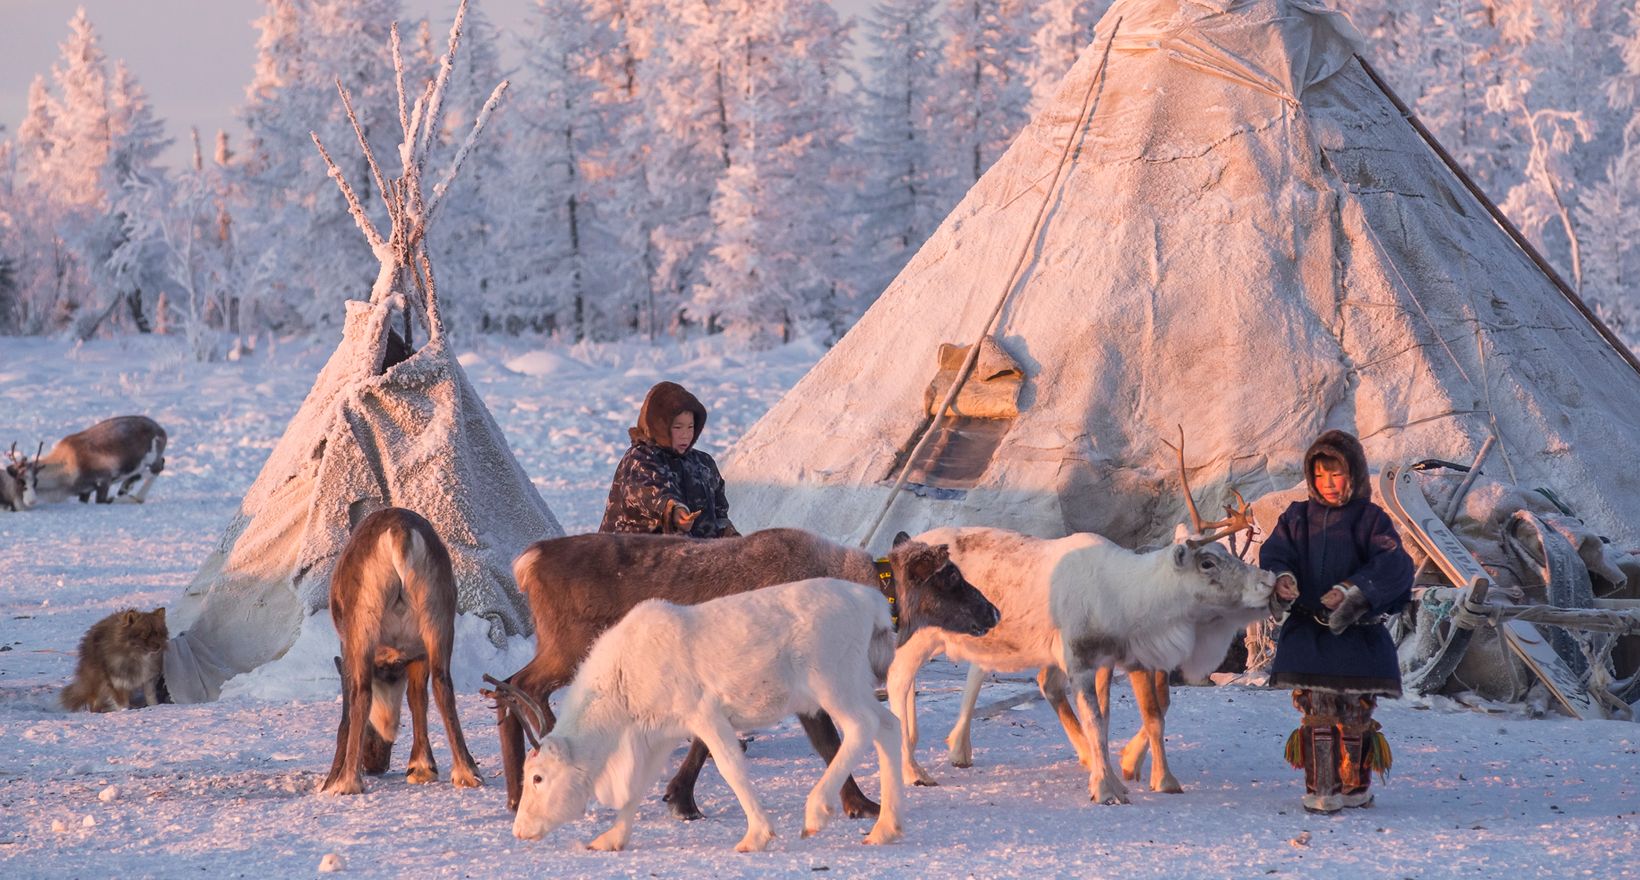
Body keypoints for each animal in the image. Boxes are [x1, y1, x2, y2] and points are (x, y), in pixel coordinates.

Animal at [314, 504, 478, 793]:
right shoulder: (417, 655)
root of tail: (399, 533)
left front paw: (330, 781)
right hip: (438, 618)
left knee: (361, 694)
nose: (376, 766)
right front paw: (422, 767)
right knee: (443, 686)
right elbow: (417, 699)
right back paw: (466, 772)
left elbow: (346, 717)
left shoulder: (346, 653)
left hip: (362, 625)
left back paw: (347, 781)